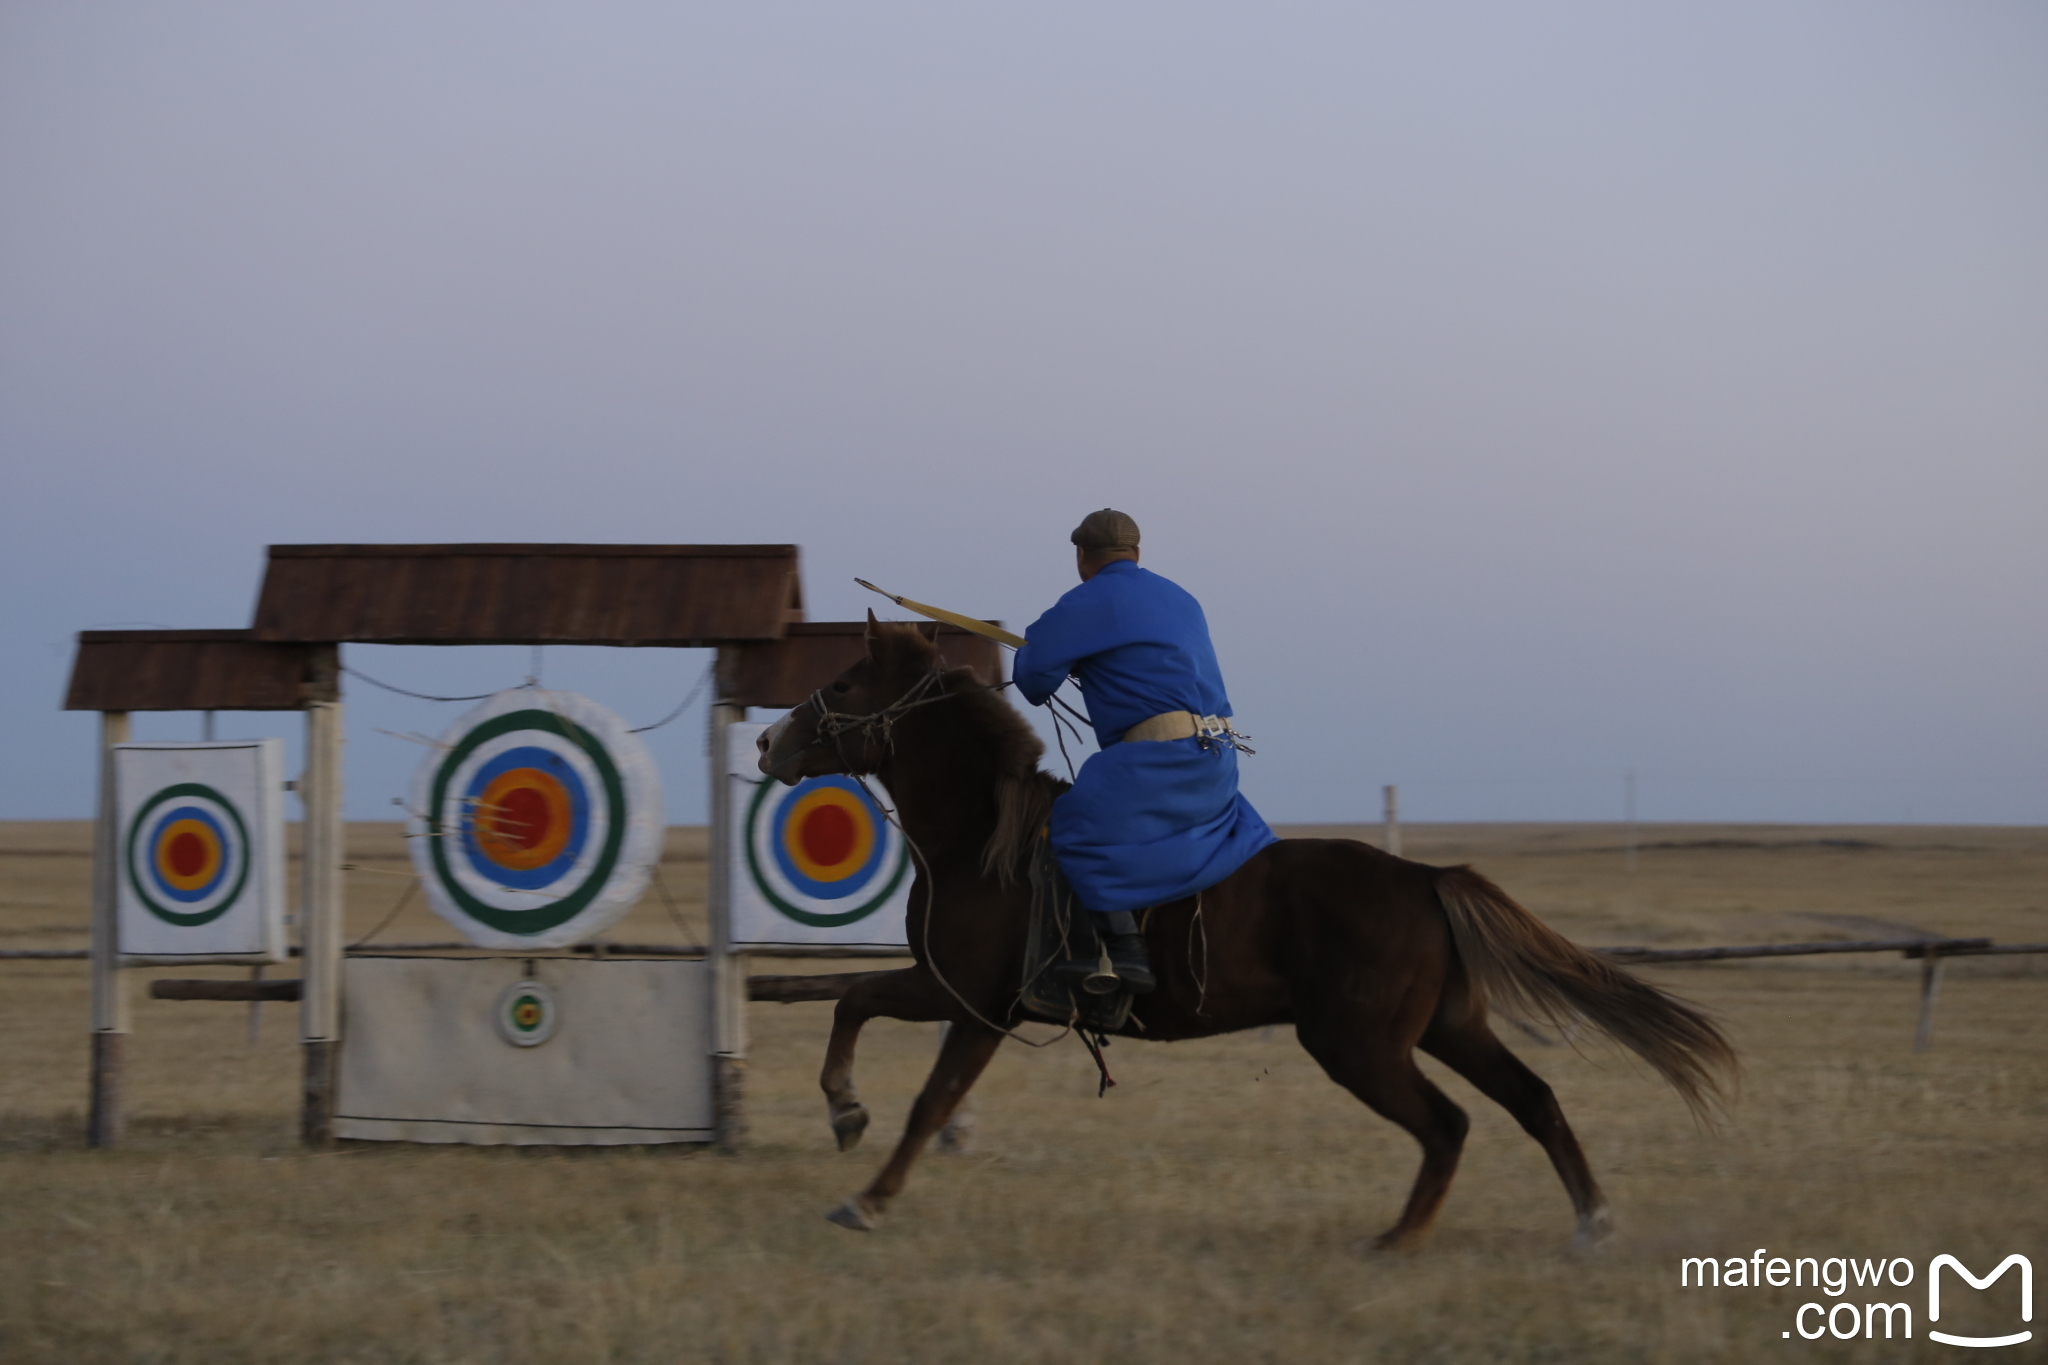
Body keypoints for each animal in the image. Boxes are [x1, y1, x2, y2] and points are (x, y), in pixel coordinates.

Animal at [761, 618, 1736, 1252]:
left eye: (843, 684)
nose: (772, 744)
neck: (980, 841)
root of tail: (1425, 878)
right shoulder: (952, 994)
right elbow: (856, 1008)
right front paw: (846, 1117)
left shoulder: (972, 1002)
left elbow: (919, 1086)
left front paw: (862, 1178)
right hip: (1447, 1026)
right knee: (1531, 1098)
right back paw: (1589, 1220)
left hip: (1358, 1044)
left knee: (1449, 1123)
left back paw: (1401, 1236)